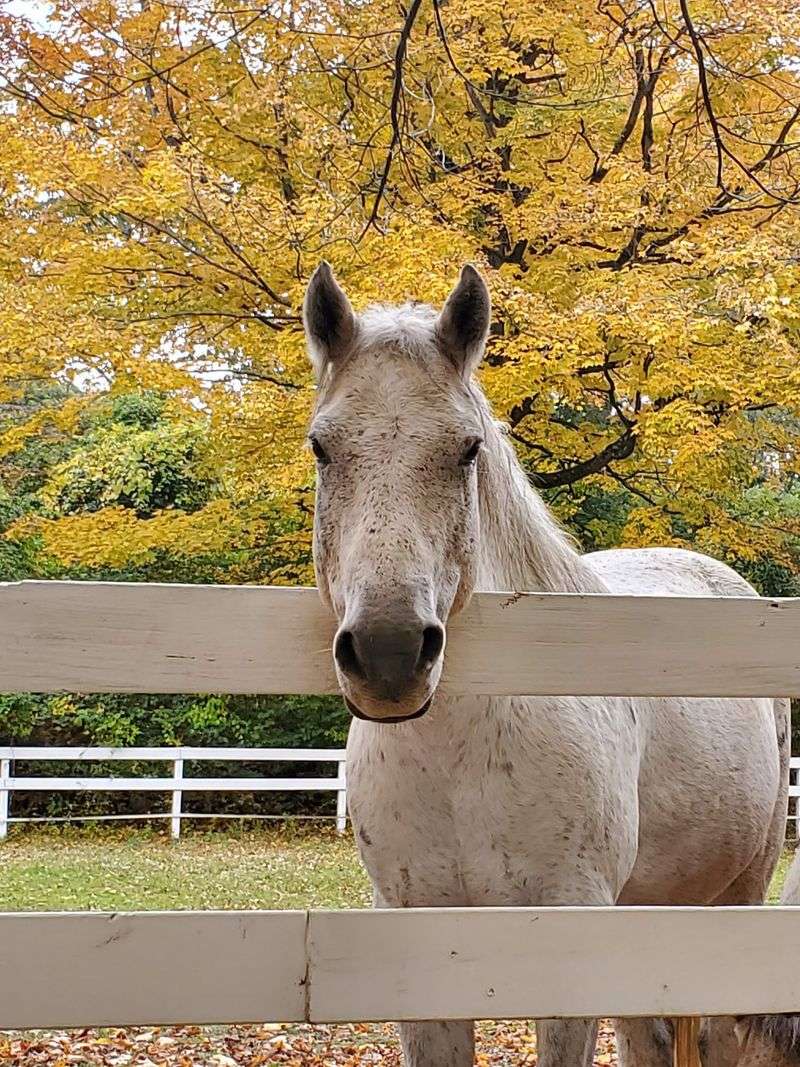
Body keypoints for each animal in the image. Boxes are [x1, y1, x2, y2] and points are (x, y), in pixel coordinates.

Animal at [303, 261, 790, 1067]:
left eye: (468, 449)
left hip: (738, 897)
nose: (388, 652)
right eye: (321, 447)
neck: (460, 760)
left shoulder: (566, 937)